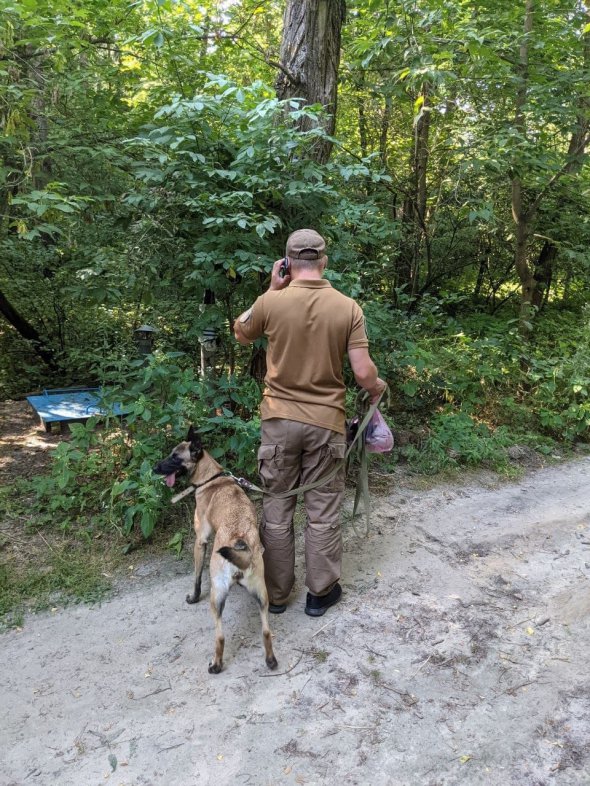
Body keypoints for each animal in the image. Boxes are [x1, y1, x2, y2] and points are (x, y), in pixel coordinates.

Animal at [155, 426, 280, 672]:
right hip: (262, 595)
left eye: (175, 457)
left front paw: (193, 597)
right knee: (266, 632)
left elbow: (196, 577)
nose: (155, 468)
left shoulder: (200, 541)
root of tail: (239, 541)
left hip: (217, 595)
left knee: (220, 636)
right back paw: (270, 660)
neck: (211, 478)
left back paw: (216, 664)